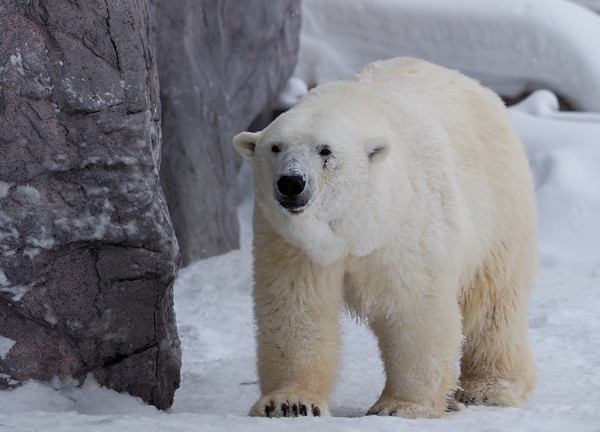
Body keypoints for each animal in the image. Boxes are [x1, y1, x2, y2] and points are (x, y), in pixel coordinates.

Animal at [232, 57, 536, 418]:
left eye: (325, 151)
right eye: (275, 147)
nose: (291, 182)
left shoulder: (406, 224)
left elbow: (414, 306)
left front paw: (400, 407)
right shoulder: (289, 240)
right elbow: (296, 306)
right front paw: (290, 403)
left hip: (499, 202)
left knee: (492, 301)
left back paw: (489, 389)